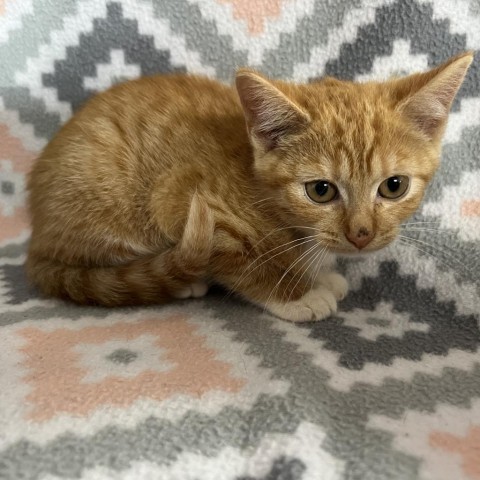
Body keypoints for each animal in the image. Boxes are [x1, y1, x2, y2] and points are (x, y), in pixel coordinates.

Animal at [26, 51, 472, 322]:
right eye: (321, 191)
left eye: (394, 186)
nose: (361, 234)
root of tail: (37, 238)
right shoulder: (184, 201)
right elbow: (244, 264)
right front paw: (296, 293)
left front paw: (319, 273)